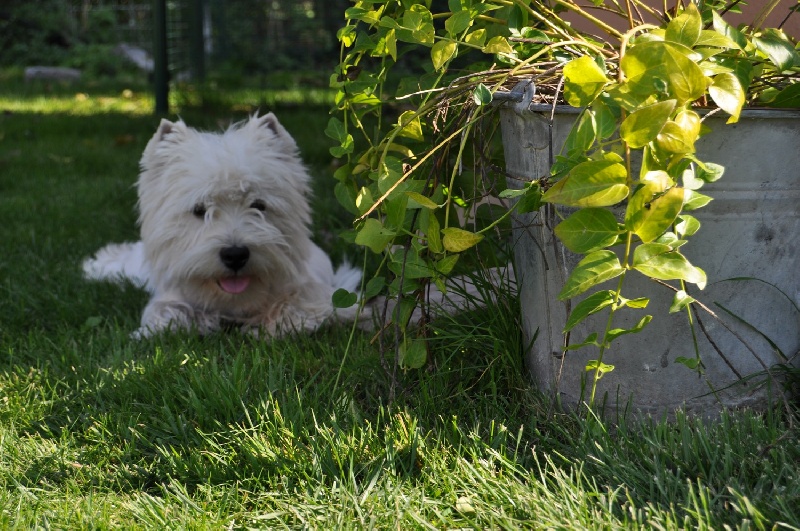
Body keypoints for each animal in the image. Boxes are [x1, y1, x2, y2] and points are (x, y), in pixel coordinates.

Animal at [82, 114, 362, 338]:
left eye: (259, 205)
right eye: (199, 210)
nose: (235, 254)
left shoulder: (319, 289)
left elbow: (298, 305)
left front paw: (269, 324)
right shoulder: (169, 295)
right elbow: (166, 310)